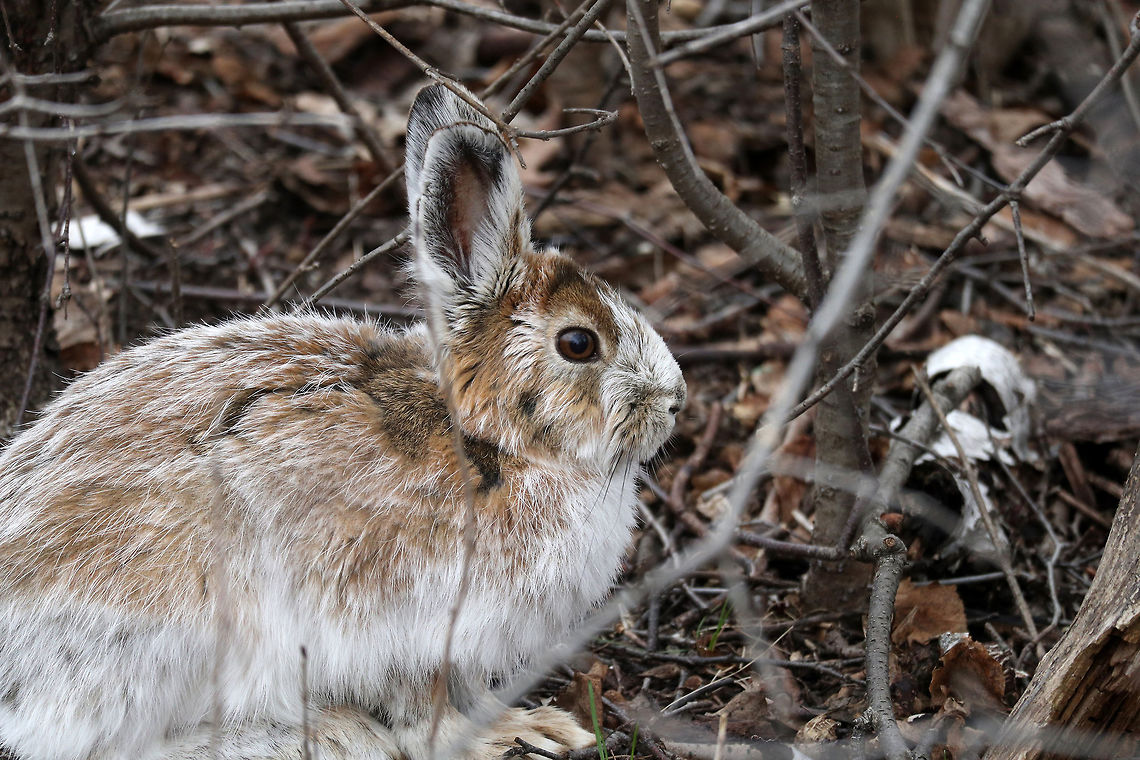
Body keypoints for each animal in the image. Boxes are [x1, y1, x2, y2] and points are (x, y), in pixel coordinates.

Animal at [0, 83, 686, 760]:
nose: (675, 399)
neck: (491, 438)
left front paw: (535, 723)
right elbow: (425, 711)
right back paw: (329, 733)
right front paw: (511, 734)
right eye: (578, 344)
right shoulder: (412, 630)